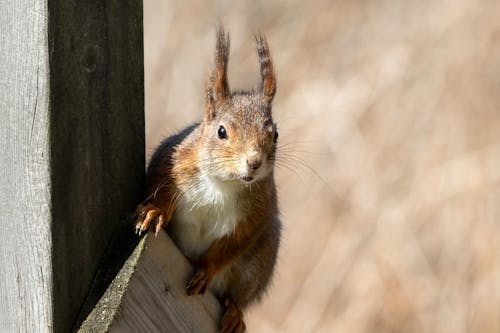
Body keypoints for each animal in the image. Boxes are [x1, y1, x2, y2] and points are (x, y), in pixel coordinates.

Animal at [135, 24, 282, 330]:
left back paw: (235, 313)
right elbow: (160, 189)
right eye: (221, 131)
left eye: (275, 134)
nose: (254, 162)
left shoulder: (257, 213)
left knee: (238, 294)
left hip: (258, 264)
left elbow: (231, 245)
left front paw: (206, 268)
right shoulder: (173, 160)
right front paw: (155, 212)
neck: (224, 183)